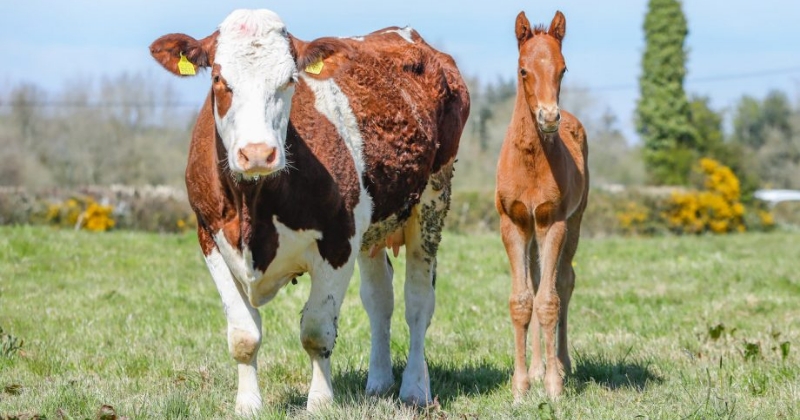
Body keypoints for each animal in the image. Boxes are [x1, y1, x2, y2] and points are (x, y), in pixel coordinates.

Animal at [148, 8, 468, 416]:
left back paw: (414, 389)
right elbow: (243, 335)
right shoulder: (210, 238)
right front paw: (248, 404)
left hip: (432, 203)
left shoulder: (338, 240)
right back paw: (378, 383)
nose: (257, 152)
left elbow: (317, 331)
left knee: (418, 302)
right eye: (219, 78)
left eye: (289, 79)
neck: (253, 206)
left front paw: (319, 402)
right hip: (373, 228)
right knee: (380, 300)